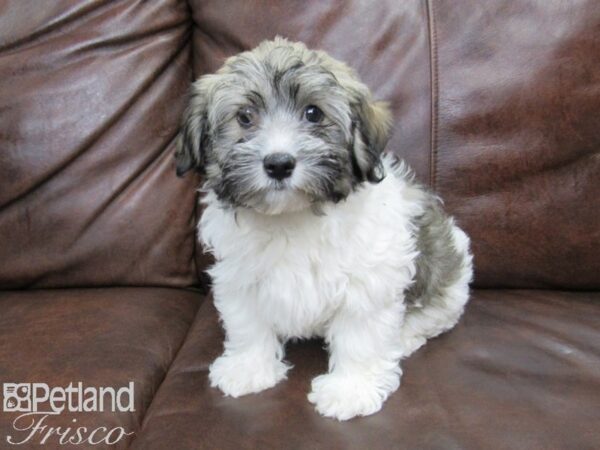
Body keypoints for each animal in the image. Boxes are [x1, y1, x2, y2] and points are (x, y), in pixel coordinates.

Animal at [173, 38, 474, 422]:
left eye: (313, 113)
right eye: (244, 117)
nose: (279, 164)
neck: (292, 216)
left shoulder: (369, 281)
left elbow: (361, 336)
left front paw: (351, 389)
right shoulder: (239, 276)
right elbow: (248, 323)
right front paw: (248, 368)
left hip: (449, 278)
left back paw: (404, 336)